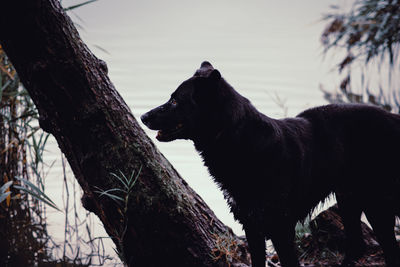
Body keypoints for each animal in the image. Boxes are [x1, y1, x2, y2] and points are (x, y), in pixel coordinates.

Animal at [141, 62, 400, 267]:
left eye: (175, 101)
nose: (143, 116)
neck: (238, 139)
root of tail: (393, 119)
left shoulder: (280, 228)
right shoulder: (252, 226)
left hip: (376, 203)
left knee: (389, 250)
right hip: (350, 199)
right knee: (358, 246)